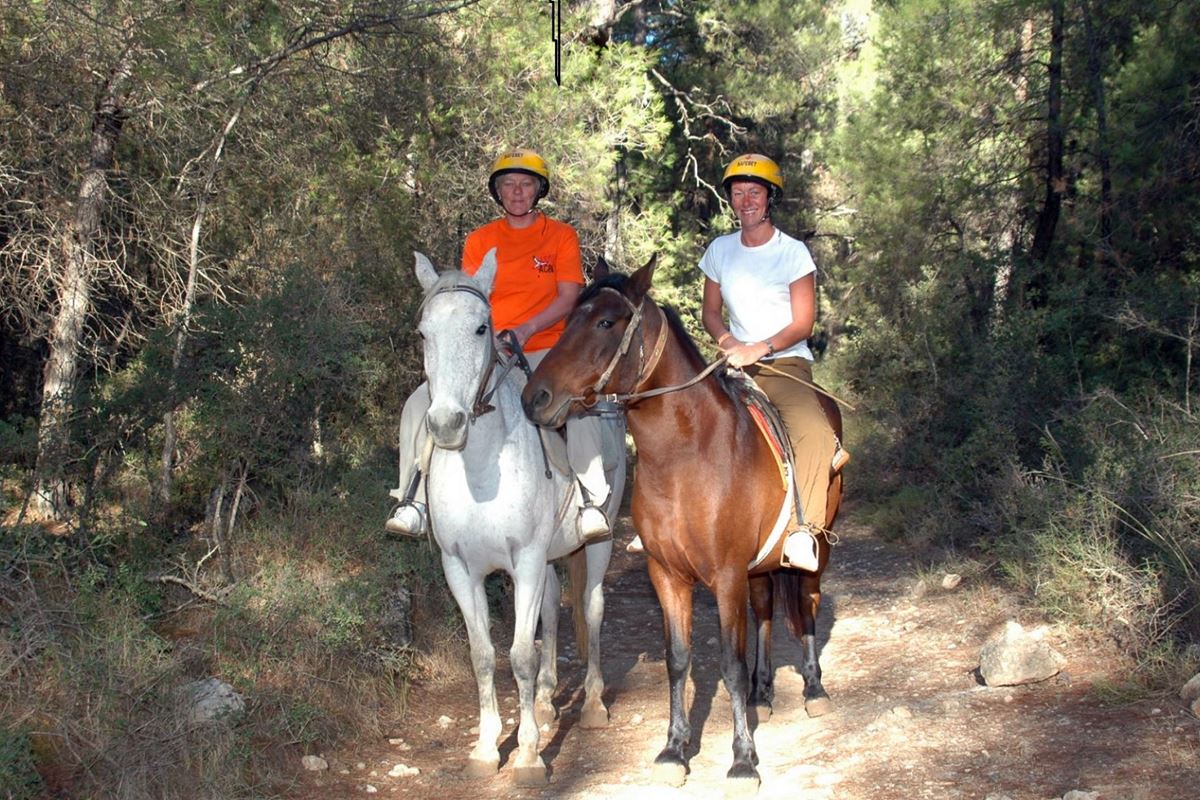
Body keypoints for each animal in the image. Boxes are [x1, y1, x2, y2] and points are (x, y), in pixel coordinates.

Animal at [410, 251, 619, 786]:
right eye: (423, 333)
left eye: (482, 327)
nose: (446, 424)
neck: (482, 472)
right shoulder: (461, 568)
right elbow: (483, 655)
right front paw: (486, 749)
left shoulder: (523, 560)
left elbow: (520, 655)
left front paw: (527, 755)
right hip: (544, 561)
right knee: (550, 608)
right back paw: (545, 702)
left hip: (597, 542)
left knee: (590, 609)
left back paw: (591, 705)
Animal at [518, 257, 844, 786]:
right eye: (567, 321)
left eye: (605, 322)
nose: (535, 398)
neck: (687, 455)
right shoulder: (667, 574)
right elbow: (678, 660)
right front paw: (674, 749)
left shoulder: (726, 575)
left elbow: (729, 663)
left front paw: (742, 760)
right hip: (759, 567)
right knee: (766, 609)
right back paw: (763, 693)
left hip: (817, 550)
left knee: (807, 603)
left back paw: (813, 690)